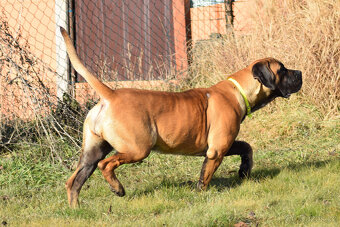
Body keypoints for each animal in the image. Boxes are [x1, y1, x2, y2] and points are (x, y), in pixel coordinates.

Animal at [59, 27, 302, 207]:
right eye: (282, 70)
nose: (299, 73)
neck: (239, 91)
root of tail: (110, 95)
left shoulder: (224, 145)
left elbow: (247, 148)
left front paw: (244, 171)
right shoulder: (216, 151)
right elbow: (205, 176)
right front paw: (202, 194)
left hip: (92, 153)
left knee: (74, 182)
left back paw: (76, 210)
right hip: (137, 149)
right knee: (106, 165)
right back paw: (117, 189)